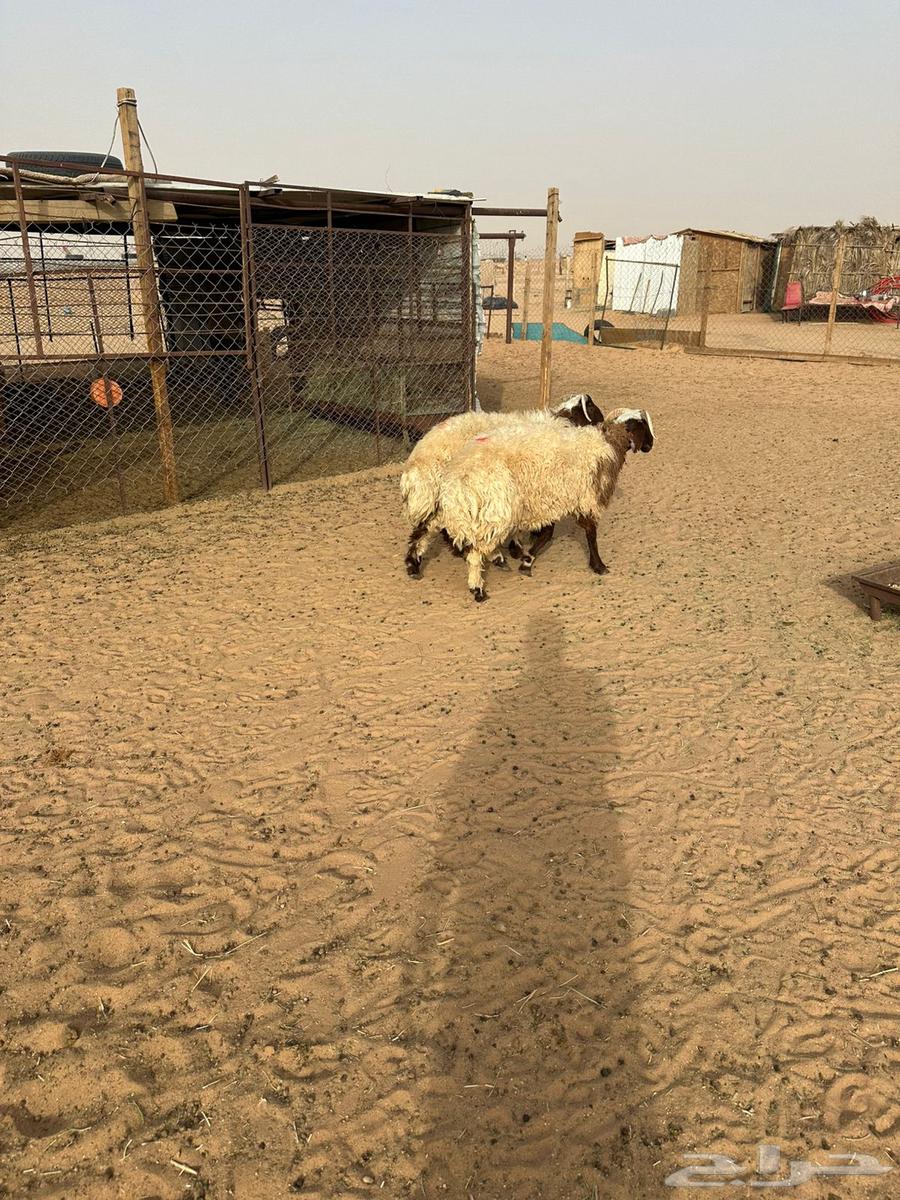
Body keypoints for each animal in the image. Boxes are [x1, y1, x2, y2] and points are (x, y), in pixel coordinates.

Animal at [400, 393, 604, 577]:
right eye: (591, 407)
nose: (602, 423)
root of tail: (417, 462)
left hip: (442, 500)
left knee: (425, 530)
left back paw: (415, 565)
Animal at [436, 407, 654, 601]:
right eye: (643, 425)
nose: (651, 445)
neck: (607, 445)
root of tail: (459, 477)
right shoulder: (583, 499)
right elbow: (589, 534)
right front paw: (599, 565)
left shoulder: (550, 501)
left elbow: (547, 534)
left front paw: (526, 557)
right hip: (495, 513)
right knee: (476, 554)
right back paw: (479, 589)